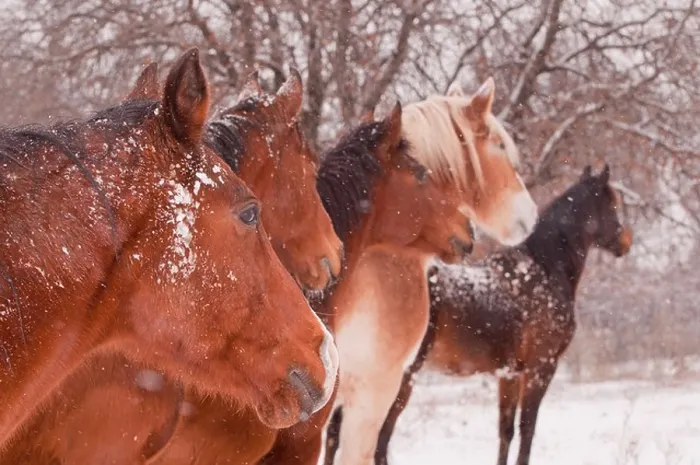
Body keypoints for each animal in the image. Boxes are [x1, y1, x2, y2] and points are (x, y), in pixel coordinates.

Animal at [370, 165, 633, 465]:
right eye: (612, 204)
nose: (626, 242)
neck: (544, 268)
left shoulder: (509, 373)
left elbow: (506, 431)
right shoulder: (540, 368)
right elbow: (527, 429)